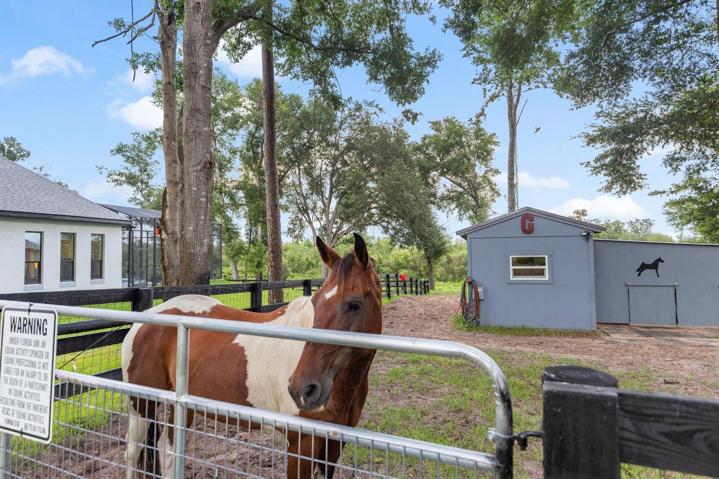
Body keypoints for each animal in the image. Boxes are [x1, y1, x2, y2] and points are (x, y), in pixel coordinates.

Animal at [121, 233, 382, 479]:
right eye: (316, 303)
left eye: (355, 304)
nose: (302, 389)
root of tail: (145, 319)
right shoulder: (300, 444)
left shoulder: (334, 443)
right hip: (141, 403)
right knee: (134, 451)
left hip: (181, 403)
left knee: (167, 449)